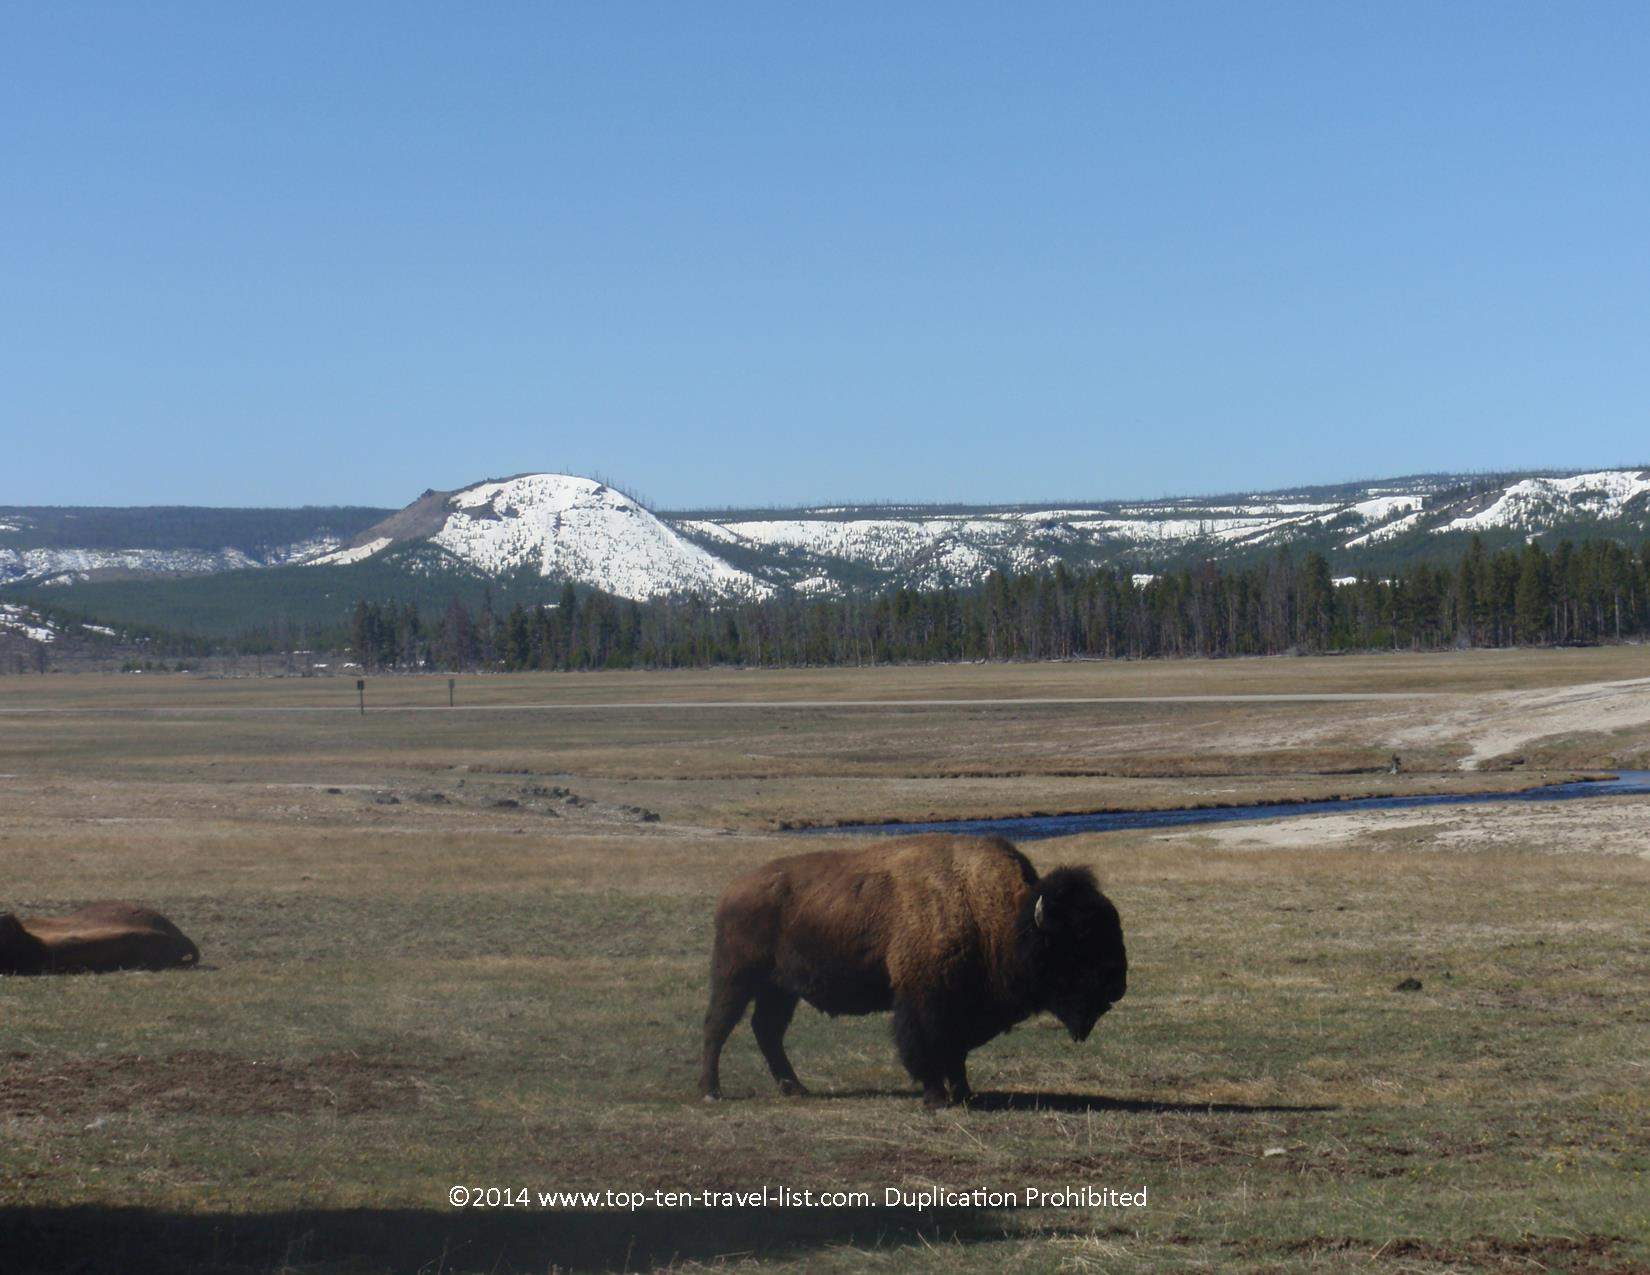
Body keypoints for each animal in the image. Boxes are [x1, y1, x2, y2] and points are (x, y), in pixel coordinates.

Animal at [699, 833, 1126, 1108]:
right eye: (1080, 938)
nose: (1117, 985)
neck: (1000, 916)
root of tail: (732, 891)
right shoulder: (923, 1000)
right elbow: (926, 1048)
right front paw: (937, 1098)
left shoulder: (960, 1008)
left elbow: (956, 1054)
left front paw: (965, 1094)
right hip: (736, 977)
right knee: (718, 1026)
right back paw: (711, 1091)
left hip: (780, 989)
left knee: (766, 1030)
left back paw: (795, 1088)